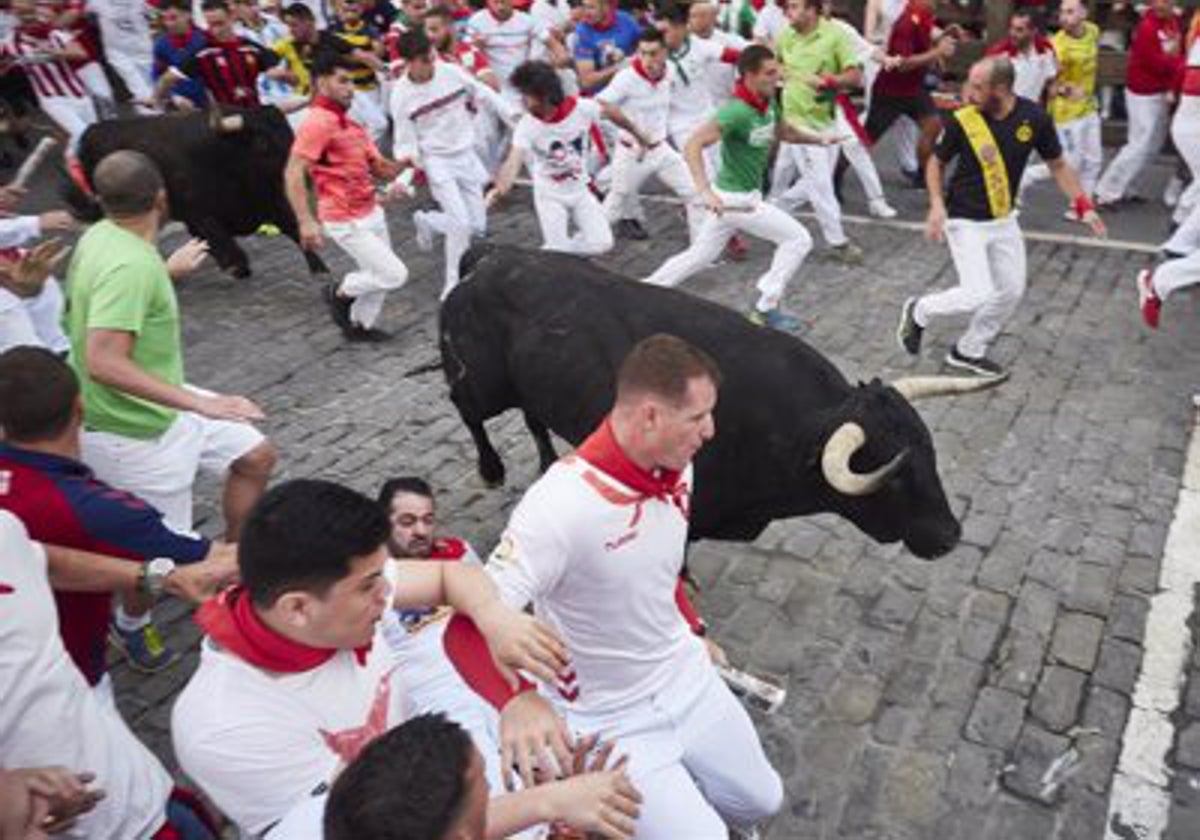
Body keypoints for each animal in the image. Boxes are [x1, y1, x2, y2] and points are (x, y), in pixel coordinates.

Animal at [63, 105, 328, 278]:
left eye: (290, 131)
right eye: (262, 141)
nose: (305, 171)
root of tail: (90, 133)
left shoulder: (271, 201)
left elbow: (295, 229)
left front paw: (320, 268)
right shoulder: (202, 216)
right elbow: (229, 248)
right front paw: (235, 268)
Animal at [436, 246, 1008, 561]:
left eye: (930, 454)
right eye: (893, 478)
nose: (950, 536)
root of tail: (492, 258)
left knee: (532, 416)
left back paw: (547, 463)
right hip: (482, 383)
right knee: (466, 409)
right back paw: (492, 469)